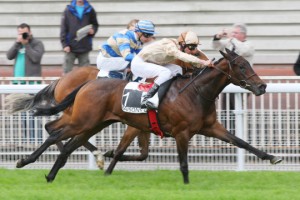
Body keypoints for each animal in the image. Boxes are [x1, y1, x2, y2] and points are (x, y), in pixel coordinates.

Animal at [14, 49, 282, 184]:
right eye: (242, 66)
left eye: (249, 63)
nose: (262, 87)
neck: (196, 92)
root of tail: (85, 83)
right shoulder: (181, 132)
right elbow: (183, 163)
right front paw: (186, 185)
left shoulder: (211, 128)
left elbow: (241, 142)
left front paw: (271, 157)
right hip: (82, 120)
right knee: (53, 131)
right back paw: (25, 162)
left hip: (94, 123)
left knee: (68, 144)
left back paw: (52, 174)